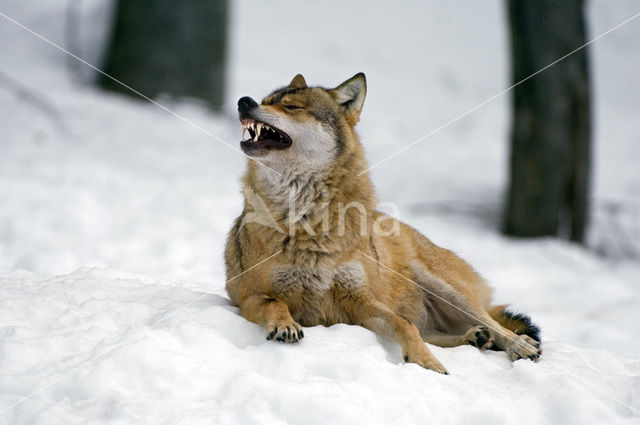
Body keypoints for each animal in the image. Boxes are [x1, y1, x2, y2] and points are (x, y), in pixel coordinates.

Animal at [225, 73, 540, 374]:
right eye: (266, 100)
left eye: (291, 107)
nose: (244, 102)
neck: (306, 220)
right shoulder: (250, 297)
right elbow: (276, 302)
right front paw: (285, 325)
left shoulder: (361, 300)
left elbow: (404, 325)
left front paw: (426, 363)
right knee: (439, 332)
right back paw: (475, 337)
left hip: (445, 288)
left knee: (490, 323)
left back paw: (519, 344)